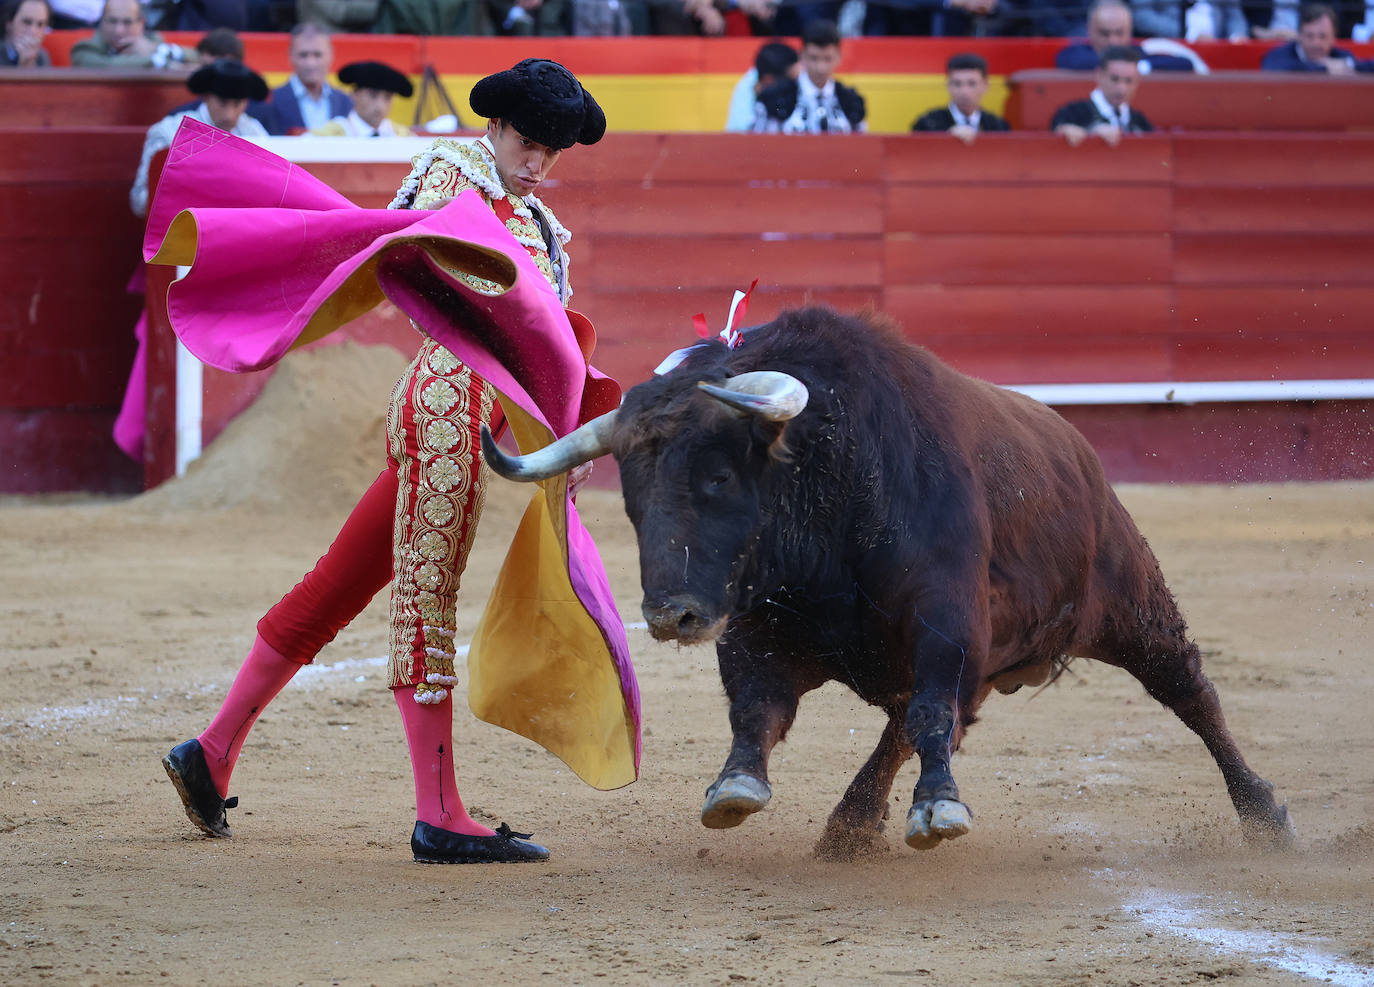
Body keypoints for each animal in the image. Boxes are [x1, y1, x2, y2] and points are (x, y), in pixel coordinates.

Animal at [486, 307, 1297, 857]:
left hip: (1132, 603)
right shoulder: (755, 625)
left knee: (1189, 691)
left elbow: (933, 712)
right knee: (906, 722)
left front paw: (939, 809)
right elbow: (757, 709)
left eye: (718, 475)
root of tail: (1078, 448)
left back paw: (1265, 817)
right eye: (632, 493)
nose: (669, 616)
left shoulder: (948, 620)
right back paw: (849, 827)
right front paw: (735, 787)